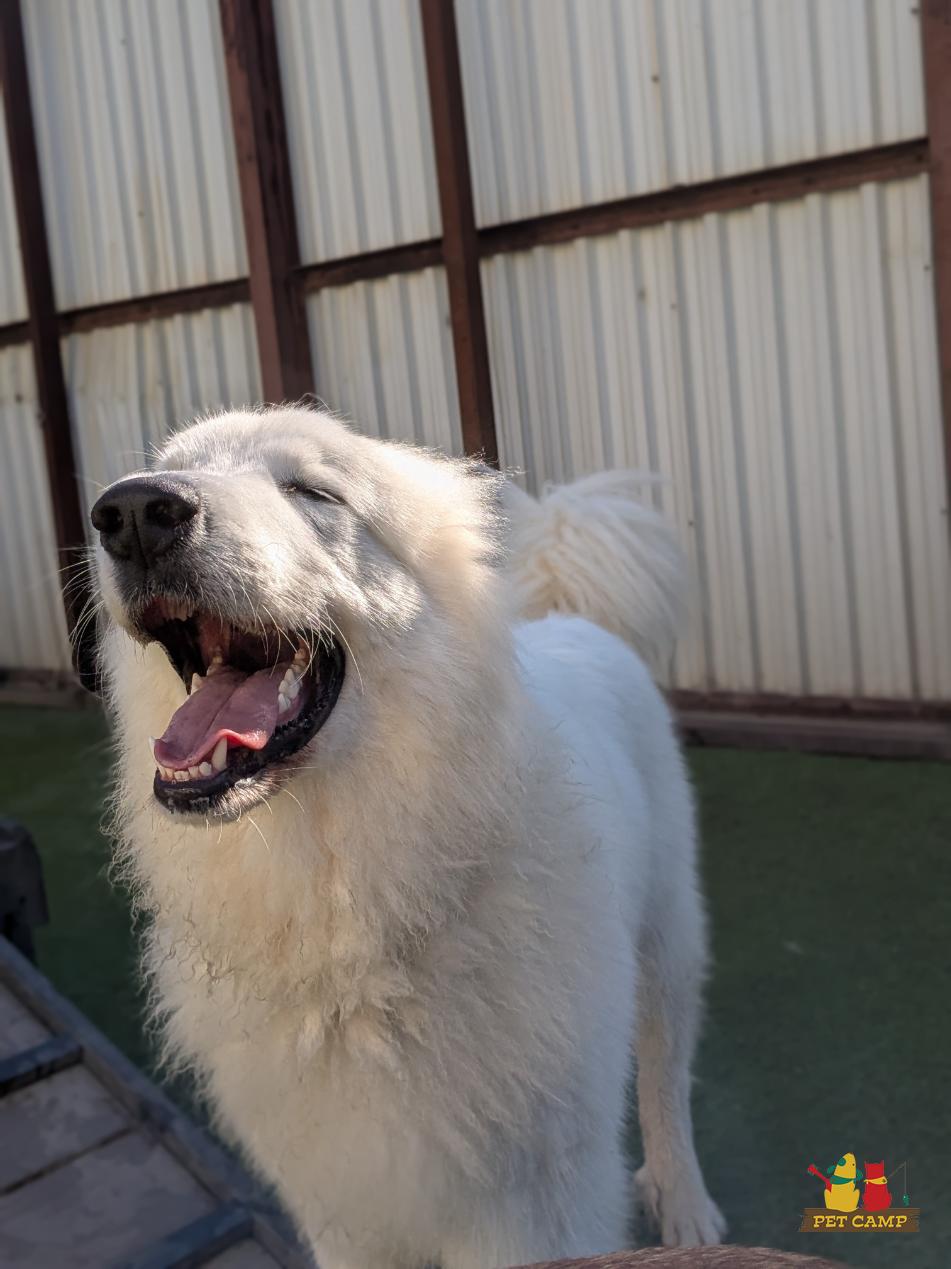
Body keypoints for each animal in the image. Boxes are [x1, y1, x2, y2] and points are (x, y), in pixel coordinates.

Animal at [89, 406, 724, 1268]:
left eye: (313, 491)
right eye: (172, 462)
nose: (130, 513)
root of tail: (572, 620)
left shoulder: (533, 1205)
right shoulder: (342, 1208)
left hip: (666, 941)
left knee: (666, 1078)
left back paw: (686, 1205)